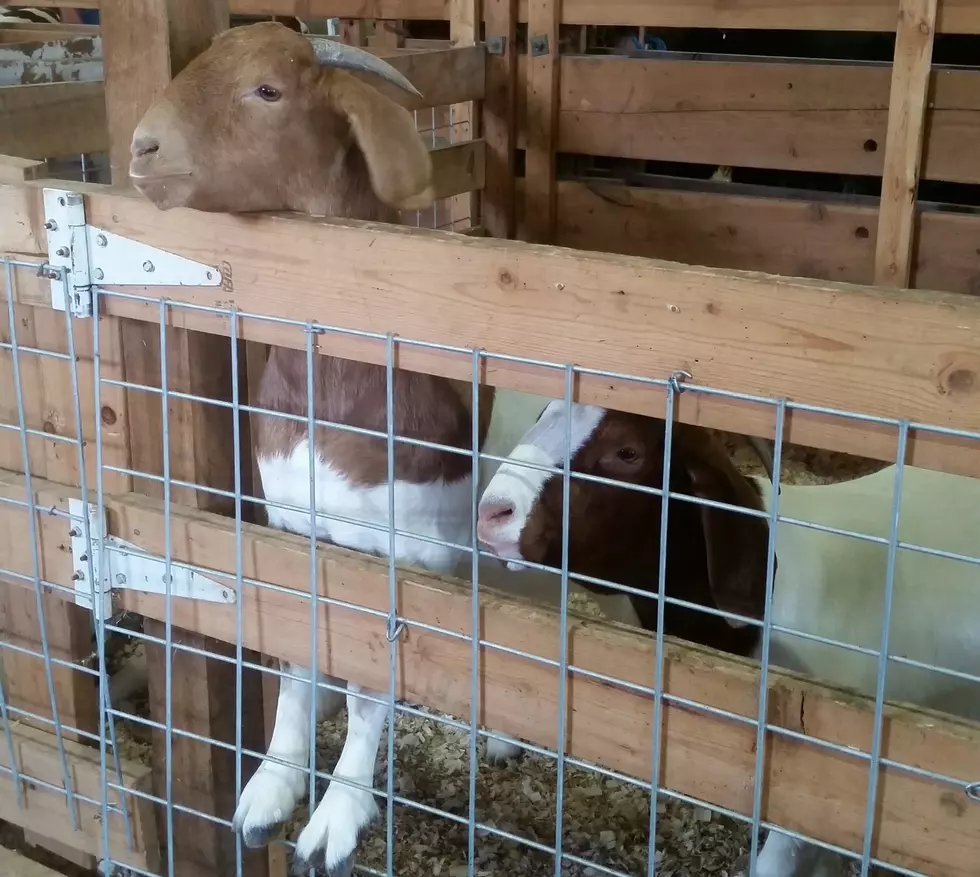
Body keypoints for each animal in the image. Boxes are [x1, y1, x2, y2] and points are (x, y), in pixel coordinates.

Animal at [127, 24, 528, 872]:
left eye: (268, 90)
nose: (143, 147)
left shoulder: (407, 549)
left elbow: (374, 678)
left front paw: (337, 817)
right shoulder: (293, 527)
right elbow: (297, 650)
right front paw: (269, 791)